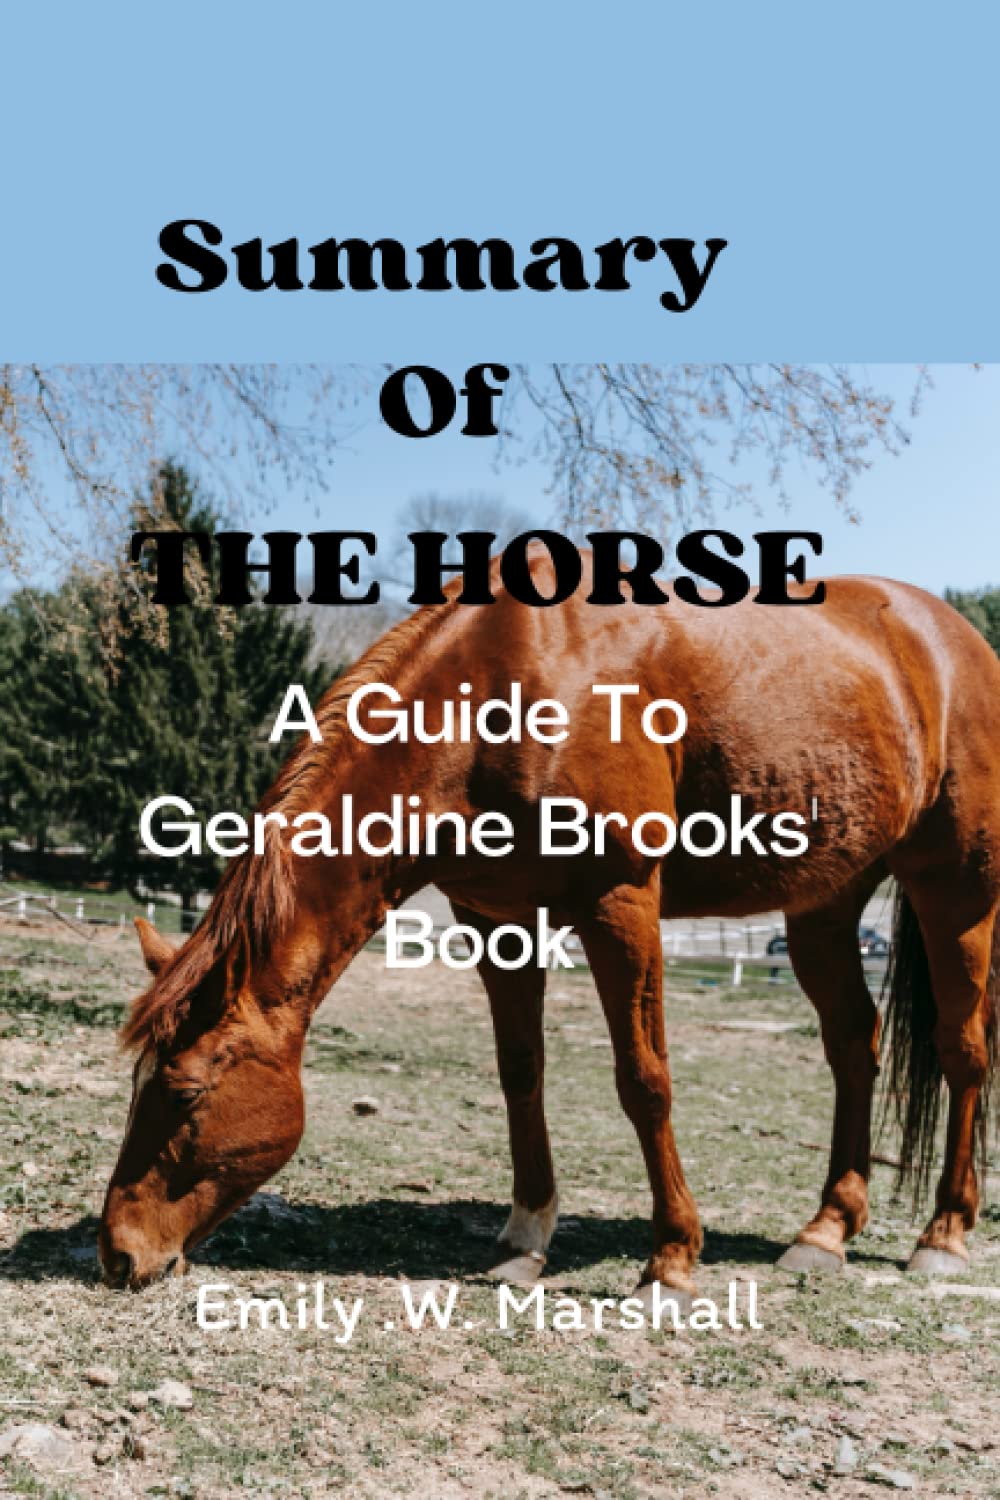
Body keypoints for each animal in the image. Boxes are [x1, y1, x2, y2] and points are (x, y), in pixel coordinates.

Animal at [99, 552, 1000, 1304]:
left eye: (185, 1092)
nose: (118, 1252)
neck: (506, 692)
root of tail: (952, 638)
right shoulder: (497, 920)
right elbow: (519, 1071)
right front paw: (525, 1237)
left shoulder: (620, 905)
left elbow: (644, 1081)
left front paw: (672, 1260)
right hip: (825, 904)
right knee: (854, 1045)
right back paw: (827, 1229)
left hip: (957, 891)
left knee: (962, 1052)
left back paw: (943, 1235)